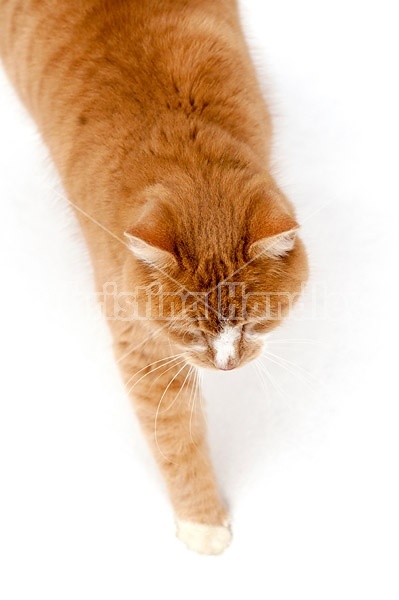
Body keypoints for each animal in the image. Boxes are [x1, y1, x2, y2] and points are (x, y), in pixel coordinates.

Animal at [0, 0, 310, 556]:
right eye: (189, 332)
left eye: (254, 324)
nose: (228, 367)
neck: (187, 155)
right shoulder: (142, 343)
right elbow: (175, 437)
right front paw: (203, 523)